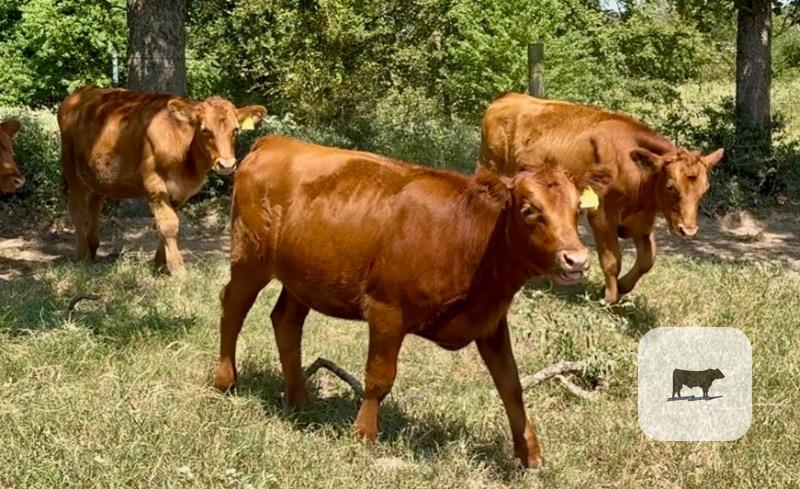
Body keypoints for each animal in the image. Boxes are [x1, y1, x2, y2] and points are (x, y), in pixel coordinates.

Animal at [57, 86, 266, 274]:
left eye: (236, 130)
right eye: (205, 130)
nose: (227, 164)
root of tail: (80, 93)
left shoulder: (182, 190)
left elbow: (166, 223)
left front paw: (159, 264)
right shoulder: (154, 182)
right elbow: (169, 224)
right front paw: (178, 269)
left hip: (97, 175)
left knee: (95, 205)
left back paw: (92, 248)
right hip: (70, 166)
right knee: (77, 208)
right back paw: (82, 256)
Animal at [212, 135, 611, 469]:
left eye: (577, 209)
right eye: (529, 209)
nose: (576, 260)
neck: (467, 235)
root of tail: (274, 141)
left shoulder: (491, 322)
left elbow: (511, 385)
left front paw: (530, 454)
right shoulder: (387, 310)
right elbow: (379, 378)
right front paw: (363, 437)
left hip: (301, 279)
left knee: (286, 322)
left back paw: (299, 400)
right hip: (250, 259)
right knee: (232, 308)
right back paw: (225, 382)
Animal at [479, 93, 725, 303]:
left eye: (704, 189)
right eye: (671, 186)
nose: (688, 230)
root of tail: (509, 97)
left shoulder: (642, 222)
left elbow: (648, 259)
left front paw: (623, 286)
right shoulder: (602, 216)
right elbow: (612, 260)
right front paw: (609, 298)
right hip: (489, 167)